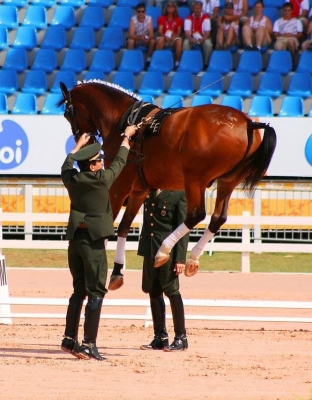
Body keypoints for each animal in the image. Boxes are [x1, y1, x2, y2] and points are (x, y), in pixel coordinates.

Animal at [59, 79, 276, 276]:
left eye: (68, 114)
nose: (83, 142)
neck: (125, 120)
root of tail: (248, 122)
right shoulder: (139, 190)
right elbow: (124, 226)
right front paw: (117, 271)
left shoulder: (118, 187)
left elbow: (108, 222)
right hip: (227, 182)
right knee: (217, 218)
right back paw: (192, 258)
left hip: (194, 179)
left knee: (196, 214)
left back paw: (164, 250)